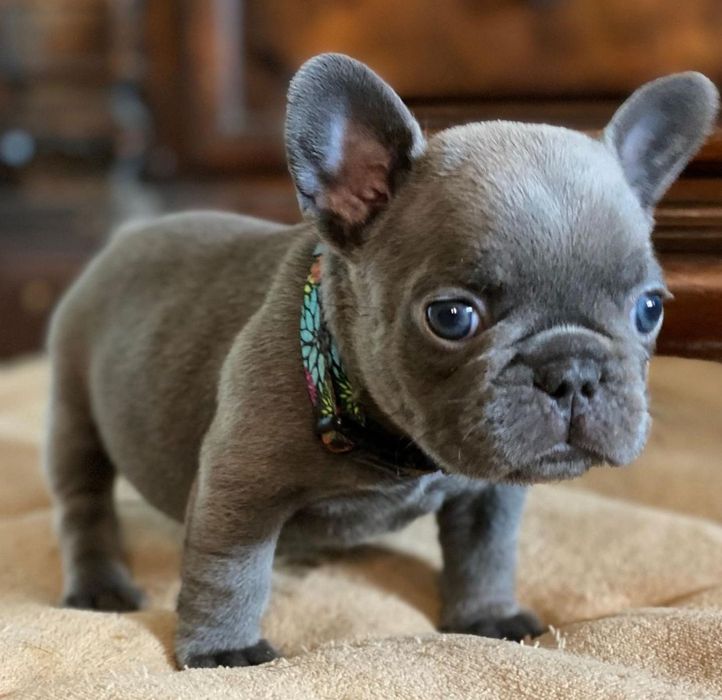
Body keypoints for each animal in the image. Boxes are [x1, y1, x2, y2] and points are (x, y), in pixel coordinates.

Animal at [45, 53, 718, 668]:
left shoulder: (489, 497)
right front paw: (224, 651)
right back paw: (101, 582)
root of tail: (122, 239)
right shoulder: (238, 488)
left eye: (650, 309)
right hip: (75, 414)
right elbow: (229, 572)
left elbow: (486, 555)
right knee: (84, 504)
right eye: (451, 317)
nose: (573, 372)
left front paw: (487, 616)